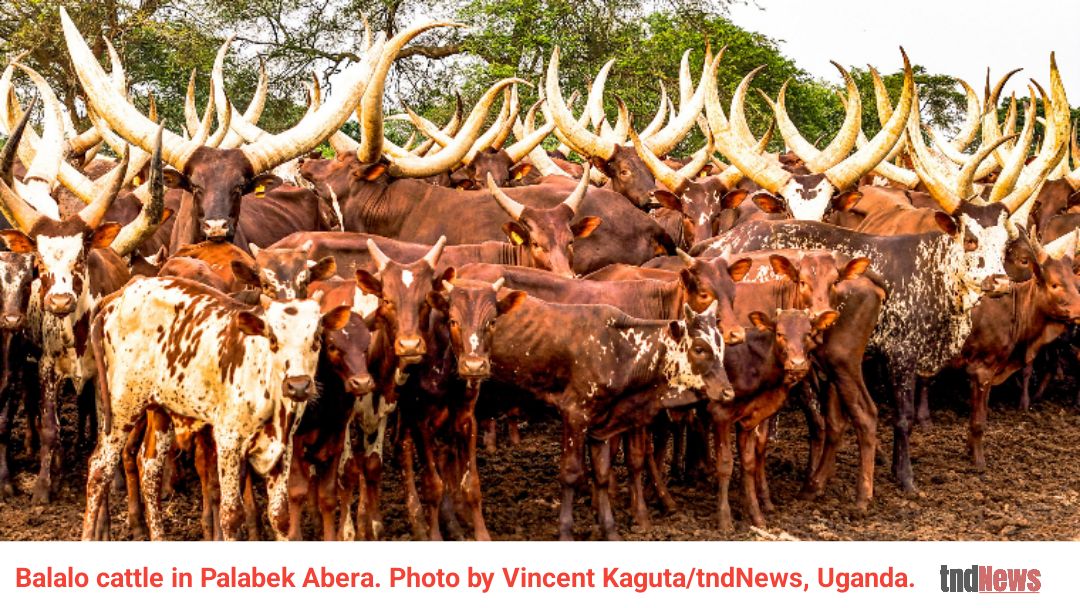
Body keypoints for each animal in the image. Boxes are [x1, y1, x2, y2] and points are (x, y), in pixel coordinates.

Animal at [84, 276, 352, 540]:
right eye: (273, 339)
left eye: (317, 338)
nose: (298, 386)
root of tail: (118, 296)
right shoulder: (228, 440)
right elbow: (231, 516)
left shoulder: (283, 445)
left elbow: (280, 516)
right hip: (121, 408)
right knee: (99, 469)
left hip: (160, 409)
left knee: (150, 470)